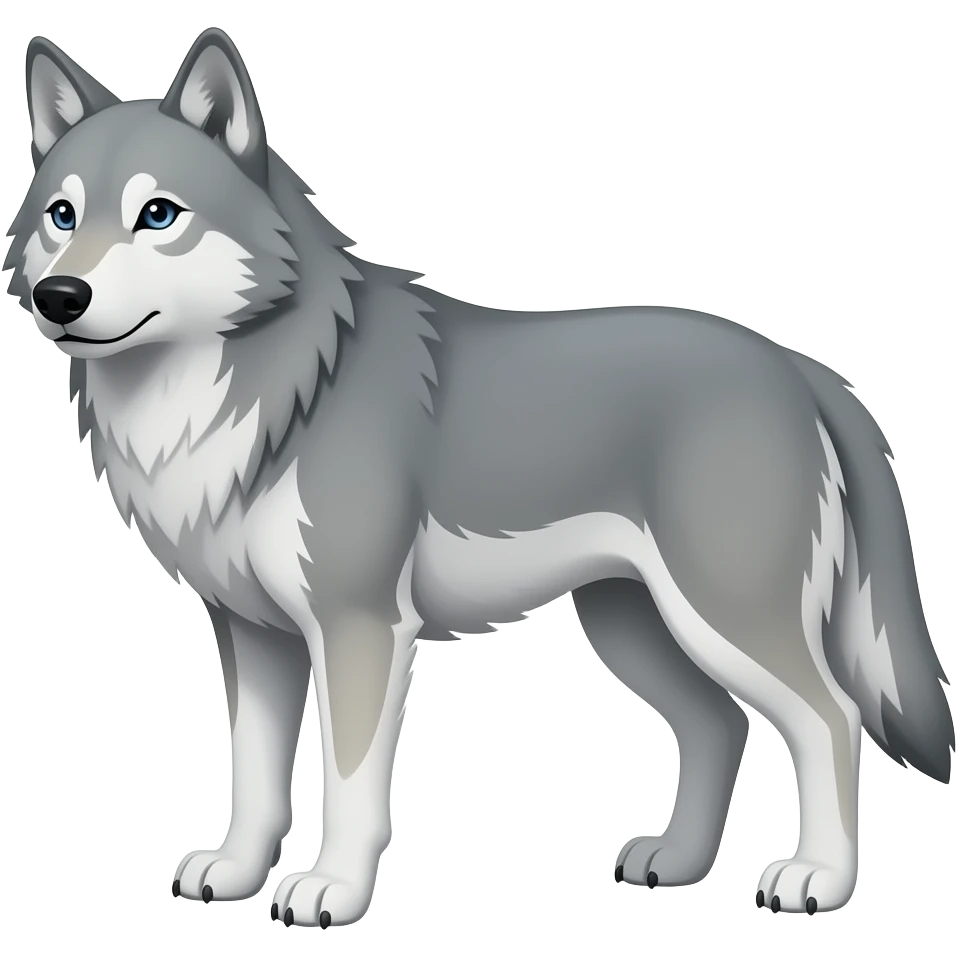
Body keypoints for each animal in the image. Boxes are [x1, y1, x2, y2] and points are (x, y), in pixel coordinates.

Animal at [5, 27, 953, 927]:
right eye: (61, 215)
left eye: (158, 215)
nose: (60, 297)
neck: (278, 386)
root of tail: (800, 366)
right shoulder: (252, 634)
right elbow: (254, 776)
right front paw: (236, 876)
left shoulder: (359, 628)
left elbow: (350, 783)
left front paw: (331, 892)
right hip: (634, 626)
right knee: (719, 725)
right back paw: (678, 864)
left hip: (723, 617)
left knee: (830, 719)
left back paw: (818, 880)